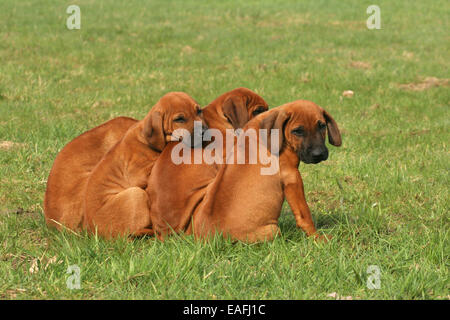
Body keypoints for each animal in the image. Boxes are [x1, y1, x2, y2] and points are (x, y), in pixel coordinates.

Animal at [82, 92, 206, 238]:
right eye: (180, 119)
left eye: (199, 111)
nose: (204, 132)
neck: (146, 141)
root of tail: (95, 234)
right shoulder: (138, 175)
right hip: (136, 194)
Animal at [148, 100, 342, 242]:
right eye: (298, 131)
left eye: (322, 126)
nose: (319, 154)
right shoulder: (292, 178)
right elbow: (305, 215)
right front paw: (319, 238)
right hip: (272, 230)